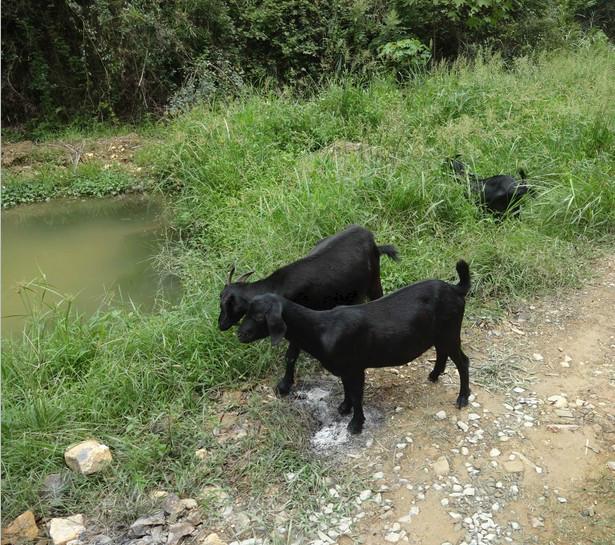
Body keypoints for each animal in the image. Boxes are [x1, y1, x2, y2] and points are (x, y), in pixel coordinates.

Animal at [219, 224, 402, 396]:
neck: (278, 285)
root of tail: (369, 236)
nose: (220, 324)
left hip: (374, 282)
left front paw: (284, 386)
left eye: (225, 303)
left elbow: (291, 356)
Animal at [238, 260, 474, 434]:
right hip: (440, 334)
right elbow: (347, 390)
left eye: (259, 316)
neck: (321, 329)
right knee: (442, 352)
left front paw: (355, 424)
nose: (240, 334)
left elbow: (357, 394)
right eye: (246, 312)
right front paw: (344, 408)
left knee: (463, 361)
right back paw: (434, 375)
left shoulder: (355, 367)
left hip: (450, 331)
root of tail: (455, 289)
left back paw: (462, 397)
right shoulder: (344, 368)